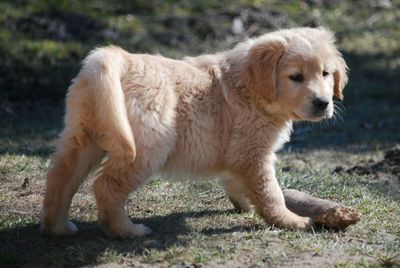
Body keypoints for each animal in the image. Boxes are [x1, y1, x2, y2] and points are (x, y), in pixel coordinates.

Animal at [40, 27, 346, 237]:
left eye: (326, 74)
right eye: (296, 77)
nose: (323, 103)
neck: (252, 87)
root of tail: (120, 58)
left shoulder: (238, 154)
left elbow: (237, 182)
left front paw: (246, 205)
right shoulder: (254, 153)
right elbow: (270, 192)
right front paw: (290, 220)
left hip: (83, 135)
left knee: (60, 178)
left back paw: (58, 227)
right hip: (146, 149)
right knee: (105, 187)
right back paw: (127, 230)